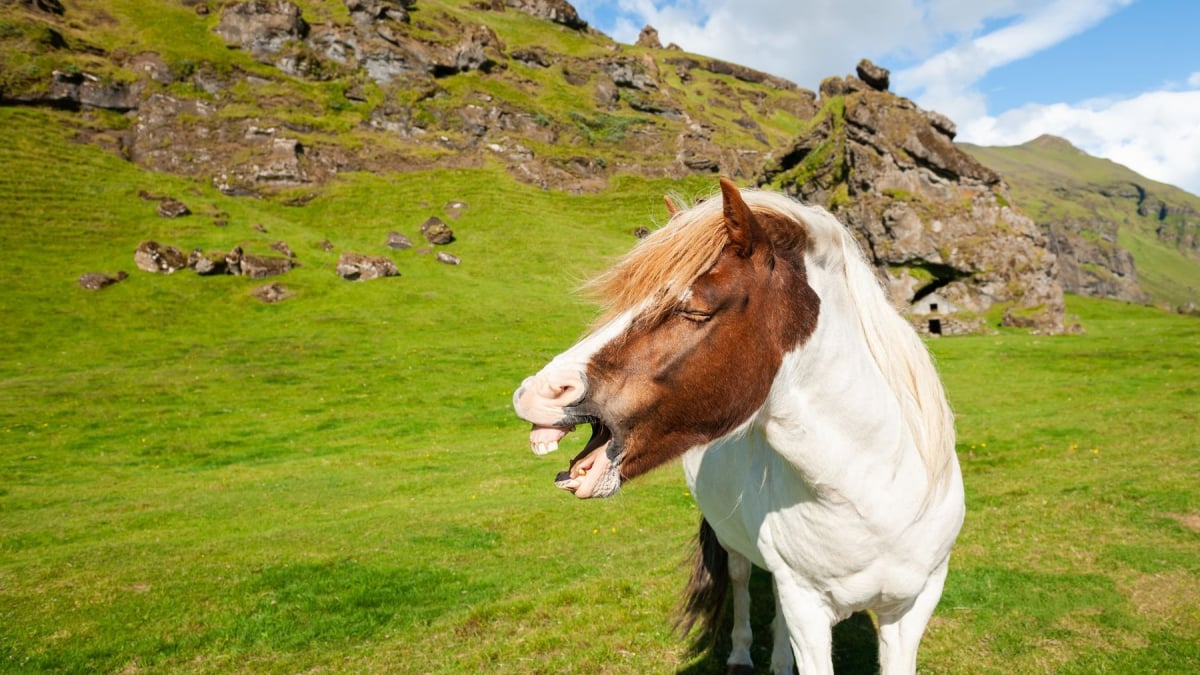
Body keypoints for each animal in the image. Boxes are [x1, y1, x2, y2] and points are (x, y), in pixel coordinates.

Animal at [516, 176, 964, 667]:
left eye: (694, 309)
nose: (536, 392)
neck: (872, 494)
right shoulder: (807, 605)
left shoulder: (912, 609)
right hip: (738, 548)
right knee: (741, 580)